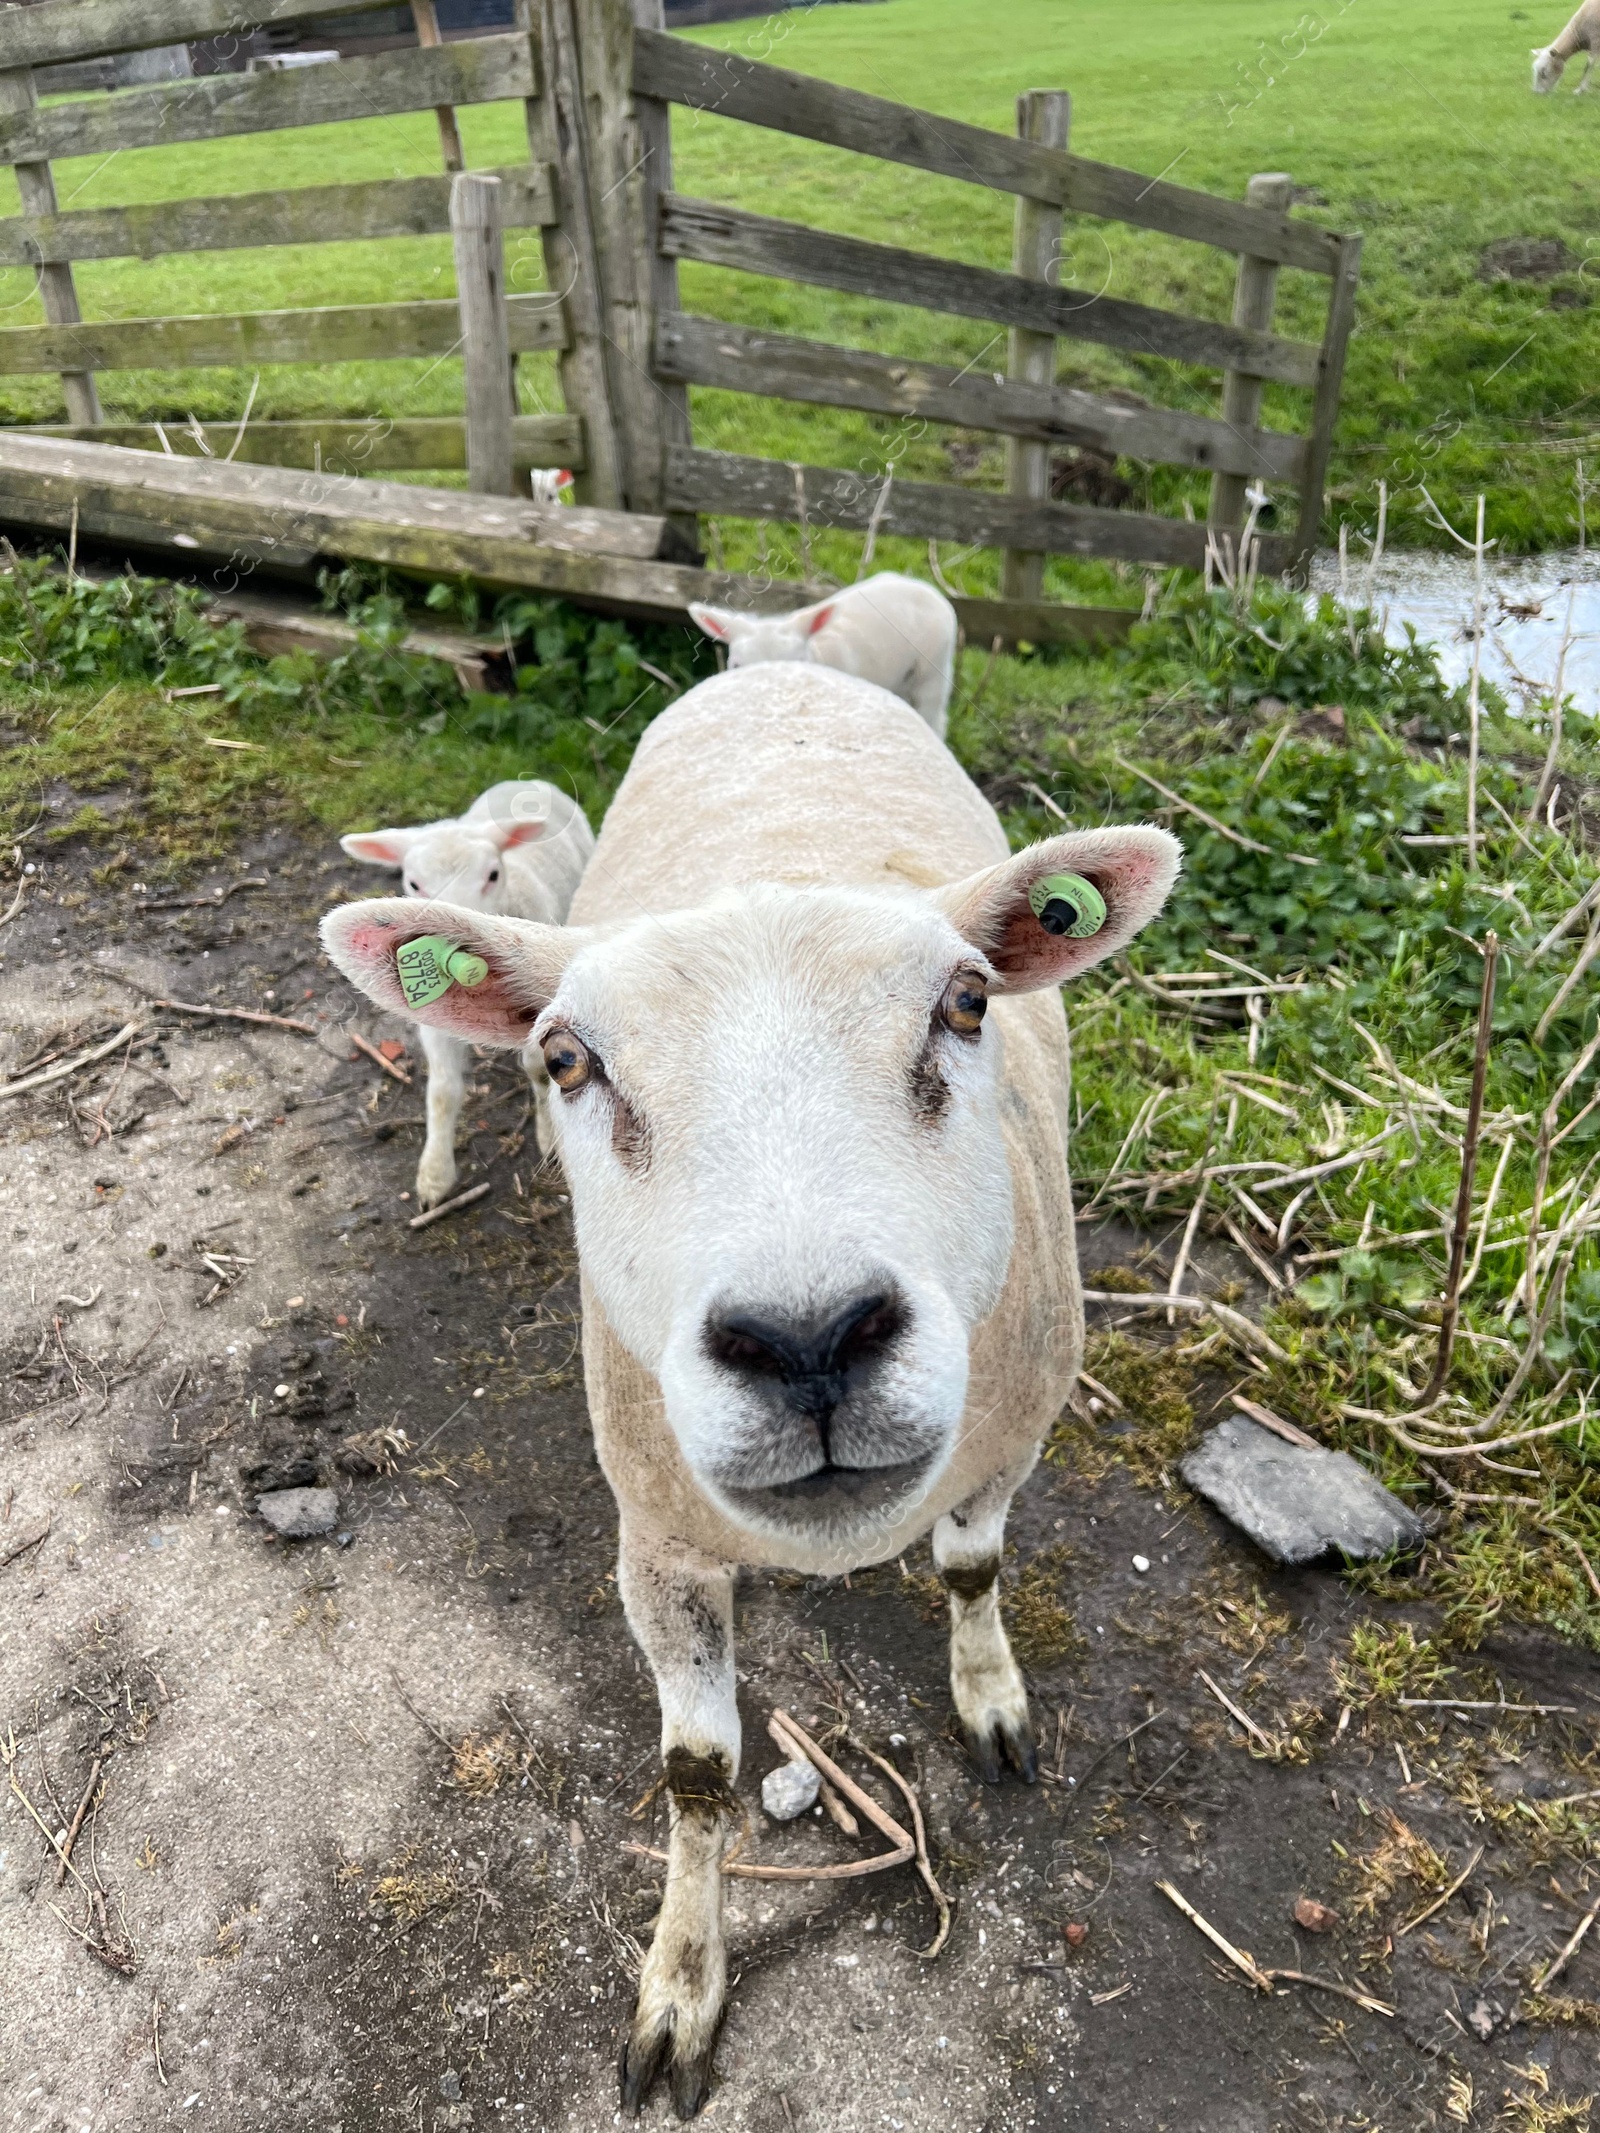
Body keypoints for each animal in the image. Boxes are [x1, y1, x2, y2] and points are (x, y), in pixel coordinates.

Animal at [339, 789, 597, 1220]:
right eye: (413, 883)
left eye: (492, 875)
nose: (456, 936)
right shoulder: (433, 1019)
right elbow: (443, 1091)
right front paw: (434, 1176)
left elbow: (540, 1071)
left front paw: (549, 1136)